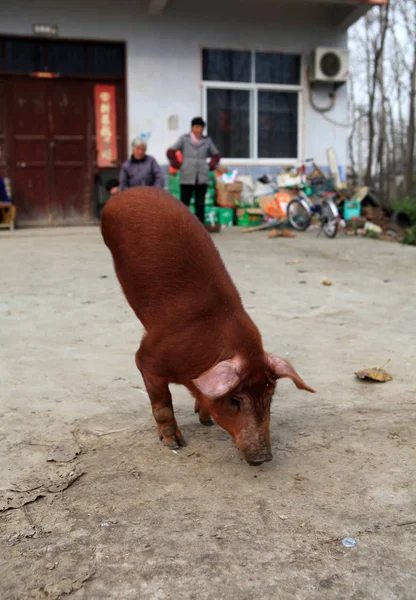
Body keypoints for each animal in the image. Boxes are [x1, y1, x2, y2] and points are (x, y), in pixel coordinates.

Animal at [101, 188, 316, 464]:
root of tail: (130, 191)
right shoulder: (148, 357)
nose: (264, 457)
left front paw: (206, 421)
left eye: (269, 397)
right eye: (234, 400)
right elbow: (162, 404)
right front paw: (175, 443)